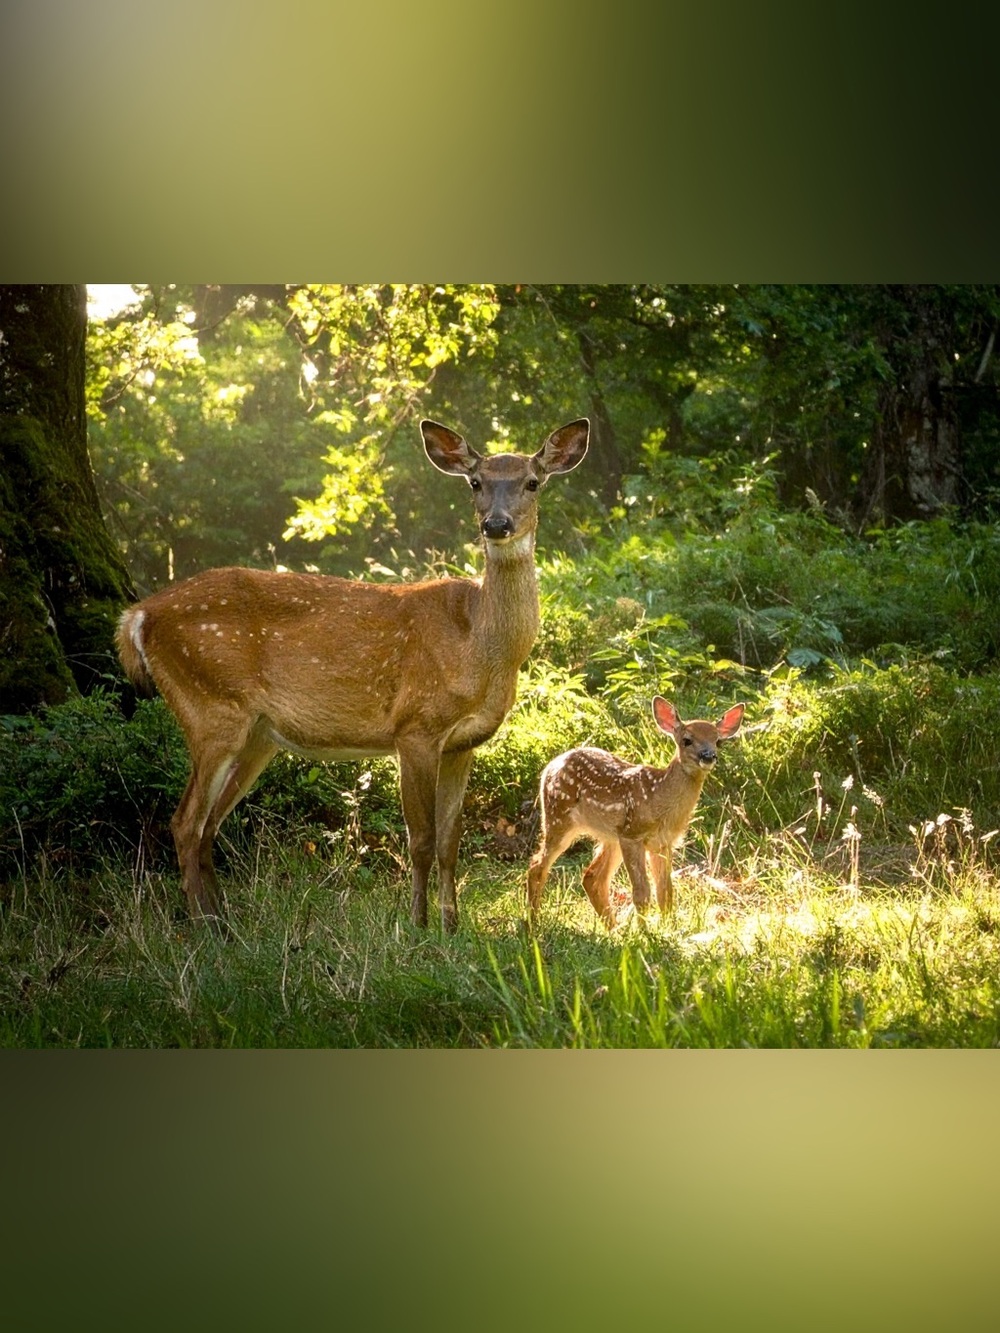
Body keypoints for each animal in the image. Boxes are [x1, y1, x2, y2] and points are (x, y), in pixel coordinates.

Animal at [116, 416, 589, 932]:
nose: (497, 524)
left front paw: (453, 926)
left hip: (256, 733)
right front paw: (418, 925)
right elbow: (421, 839)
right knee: (185, 822)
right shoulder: (415, 726)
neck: (481, 645)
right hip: (211, 705)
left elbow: (450, 840)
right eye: (476, 482)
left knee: (207, 825)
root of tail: (137, 617)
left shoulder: (463, 742)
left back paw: (224, 920)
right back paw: (206, 926)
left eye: (532, 481)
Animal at [526, 698, 744, 929]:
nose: (708, 756)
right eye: (687, 740)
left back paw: (613, 929)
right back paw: (533, 923)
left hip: (609, 836)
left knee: (592, 877)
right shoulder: (633, 834)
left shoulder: (663, 843)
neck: (658, 798)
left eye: (718, 741)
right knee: (537, 866)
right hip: (558, 817)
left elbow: (665, 891)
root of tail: (549, 767)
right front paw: (644, 932)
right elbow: (642, 892)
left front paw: (668, 928)